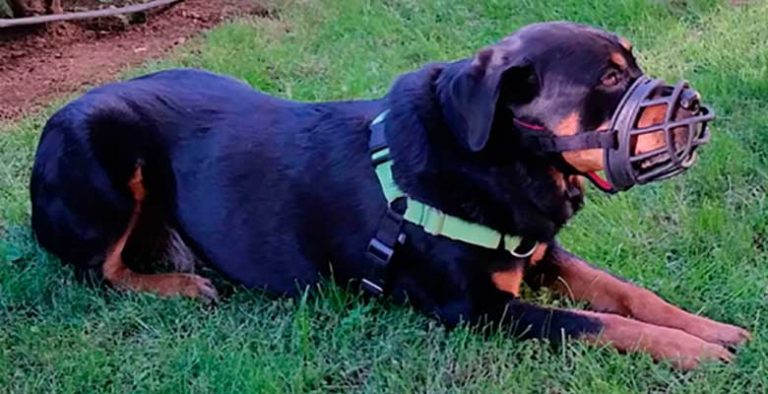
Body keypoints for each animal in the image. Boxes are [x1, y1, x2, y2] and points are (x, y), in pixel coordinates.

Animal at [31, 21, 752, 368]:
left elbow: (630, 296)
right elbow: (599, 323)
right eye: (607, 78)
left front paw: (711, 328)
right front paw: (696, 353)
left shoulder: (537, 251)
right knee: (99, 269)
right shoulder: (478, 309)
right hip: (101, 154)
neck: (491, 158)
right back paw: (181, 284)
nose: (698, 108)